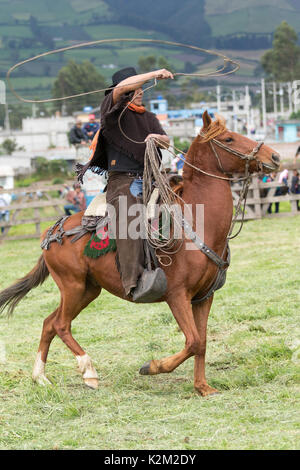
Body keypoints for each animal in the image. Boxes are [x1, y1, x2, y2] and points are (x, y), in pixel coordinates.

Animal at [0, 112, 280, 394]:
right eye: (228, 138)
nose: (275, 156)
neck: (196, 220)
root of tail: (53, 231)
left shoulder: (203, 297)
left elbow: (201, 342)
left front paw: (202, 387)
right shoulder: (177, 296)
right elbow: (192, 341)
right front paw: (153, 367)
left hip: (88, 289)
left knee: (49, 323)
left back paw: (40, 377)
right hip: (73, 286)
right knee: (60, 324)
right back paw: (89, 371)